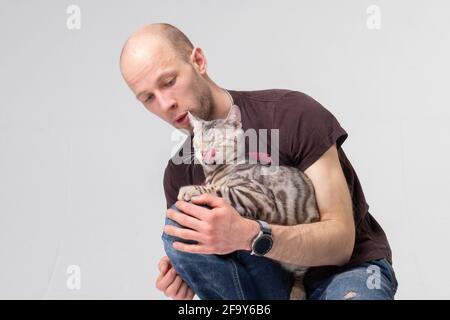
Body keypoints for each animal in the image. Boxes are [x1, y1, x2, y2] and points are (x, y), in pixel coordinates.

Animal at [176, 104, 320, 298]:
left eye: (216, 142)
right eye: (198, 143)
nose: (203, 152)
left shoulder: (257, 196)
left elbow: (220, 189)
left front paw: (190, 189)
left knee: (299, 278)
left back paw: (297, 294)